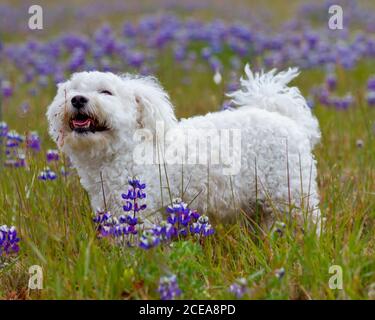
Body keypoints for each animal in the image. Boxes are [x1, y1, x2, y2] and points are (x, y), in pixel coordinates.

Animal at [47, 63, 324, 231]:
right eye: (69, 91)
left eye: (106, 92)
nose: (77, 99)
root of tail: (290, 120)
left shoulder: (143, 211)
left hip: (291, 191)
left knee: (310, 221)